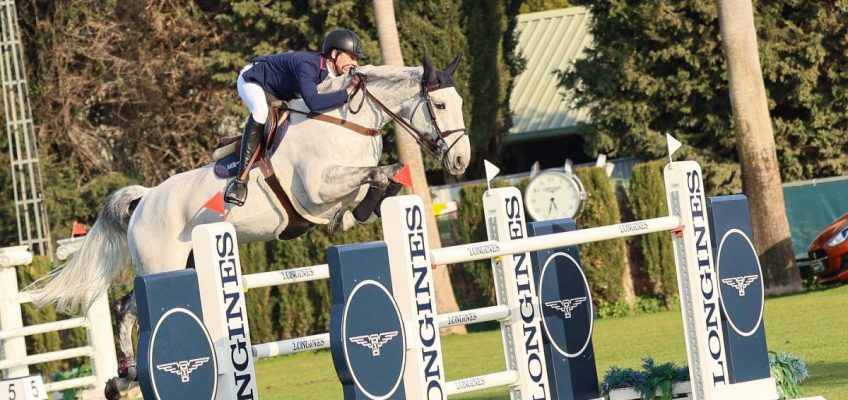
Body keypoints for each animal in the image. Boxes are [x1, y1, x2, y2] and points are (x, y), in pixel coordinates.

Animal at [26, 54, 470, 396]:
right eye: (440, 106)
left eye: (459, 102)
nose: (461, 161)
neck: (348, 123)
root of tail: (144, 199)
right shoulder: (318, 188)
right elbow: (375, 174)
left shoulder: (336, 194)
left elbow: (380, 180)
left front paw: (364, 208)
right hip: (160, 264)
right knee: (125, 308)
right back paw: (124, 377)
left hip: (182, 264)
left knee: (130, 308)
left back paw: (126, 377)